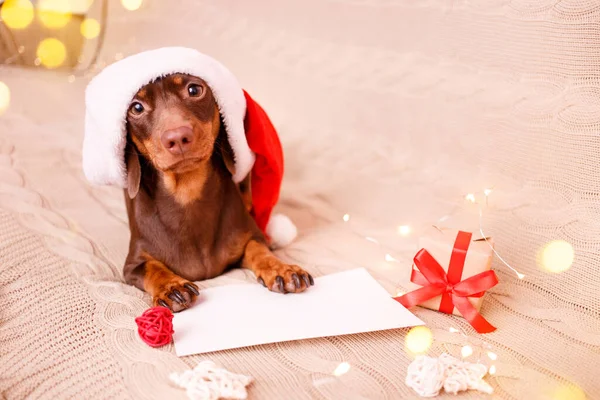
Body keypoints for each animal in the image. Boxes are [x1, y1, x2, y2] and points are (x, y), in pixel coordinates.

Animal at [120, 73, 312, 310]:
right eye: (136, 107)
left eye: (194, 90)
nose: (177, 137)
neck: (187, 192)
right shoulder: (132, 265)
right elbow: (151, 267)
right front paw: (171, 286)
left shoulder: (251, 237)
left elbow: (258, 250)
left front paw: (281, 269)